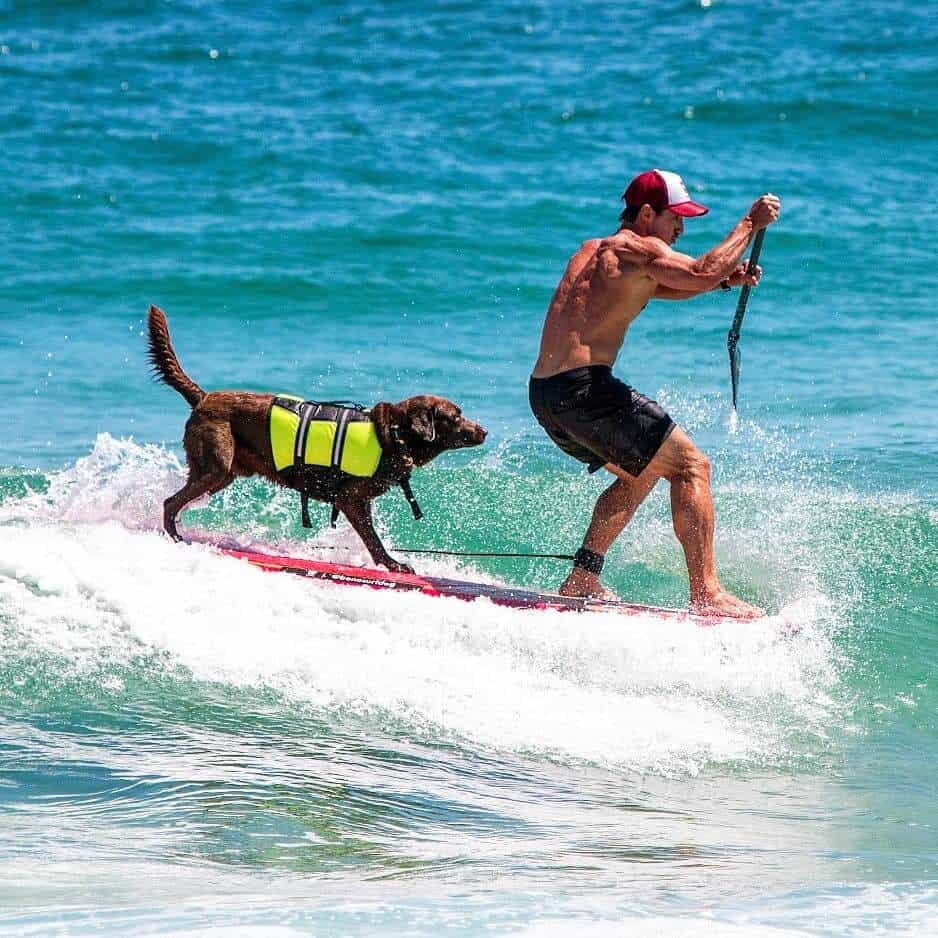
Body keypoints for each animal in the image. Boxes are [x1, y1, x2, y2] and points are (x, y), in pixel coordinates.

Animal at [146, 306, 486, 572]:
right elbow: (372, 538)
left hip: (223, 474)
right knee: (170, 502)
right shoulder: (351, 498)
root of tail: (203, 397)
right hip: (215, 467)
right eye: (456, 417)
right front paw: (391, 564)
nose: (484, 431)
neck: (393, 434)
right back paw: (175, 537)